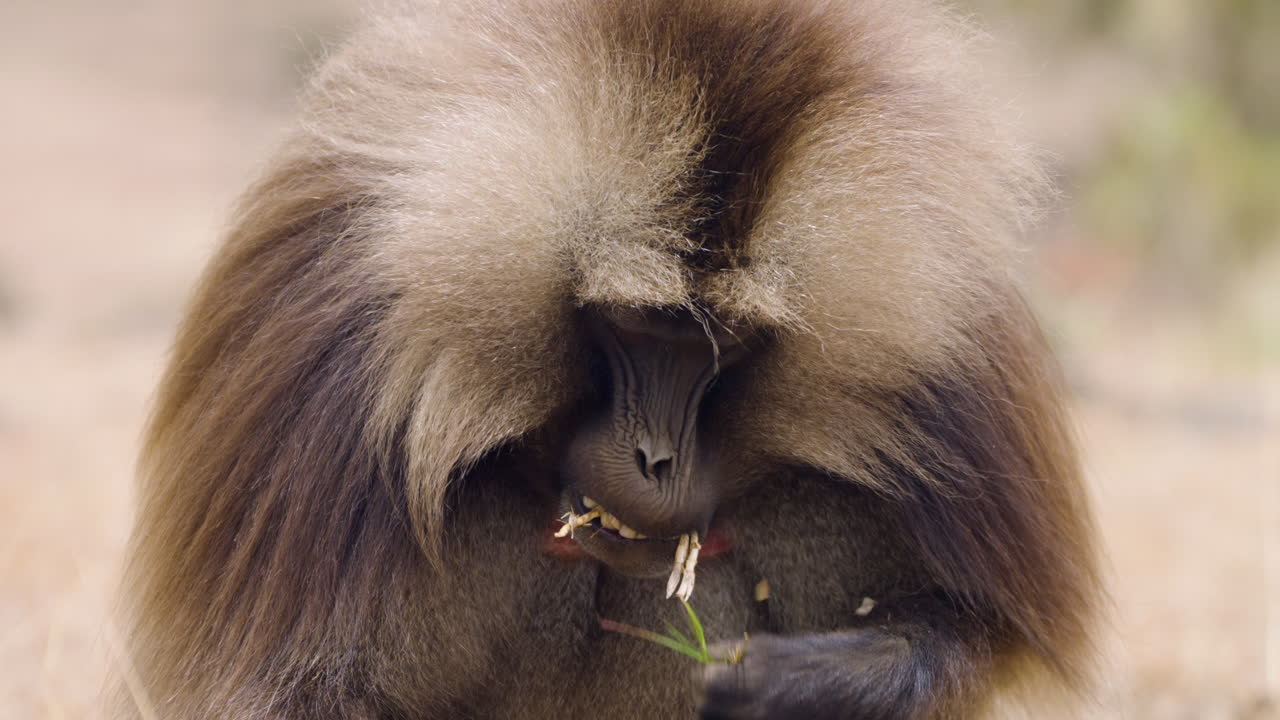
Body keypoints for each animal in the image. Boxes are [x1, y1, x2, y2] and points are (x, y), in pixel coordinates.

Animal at [117, 0, 1100, 718]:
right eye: (638, 325)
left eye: (723, 345)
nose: (657, 463)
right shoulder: (330, 365)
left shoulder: (955, 370)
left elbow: (962, 631)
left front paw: (803, 681)